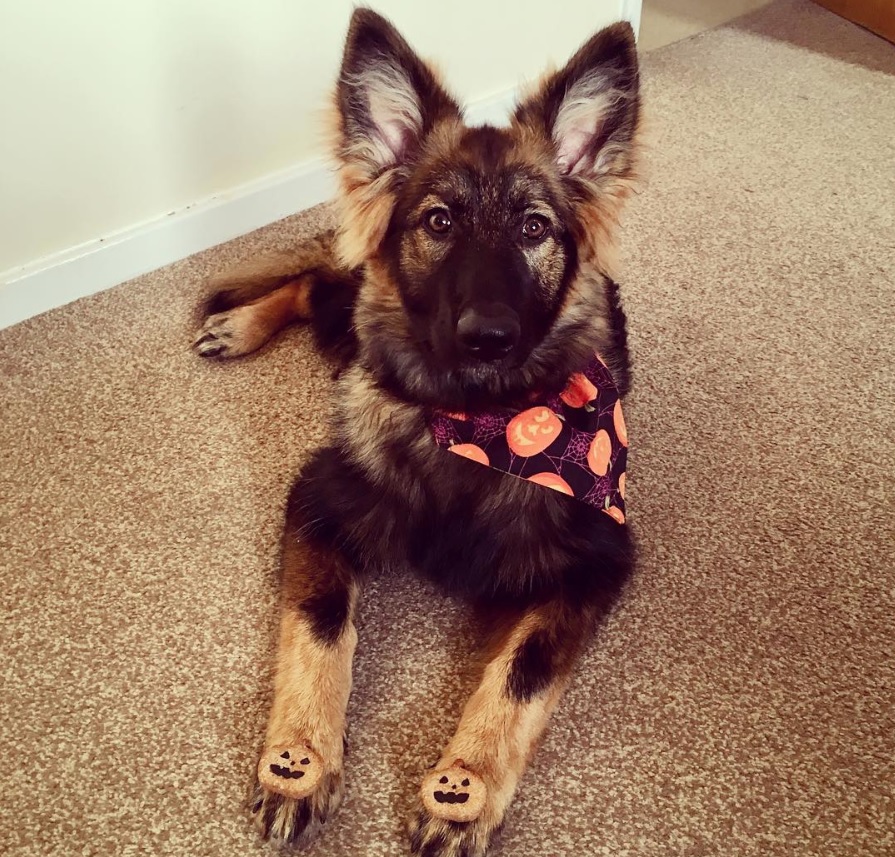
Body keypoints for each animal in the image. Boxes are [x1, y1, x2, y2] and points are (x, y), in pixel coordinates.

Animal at [195, 8, 640, 856]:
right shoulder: (319, 502)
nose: (488, 337)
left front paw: (461, 790)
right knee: (313, 280)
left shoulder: (595, 560)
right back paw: (238, 325)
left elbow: (520, 674)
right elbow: (319, 628)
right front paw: (298, 759)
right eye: (438, 221)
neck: (481, 420)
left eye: (533, 227)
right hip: (345, 311)